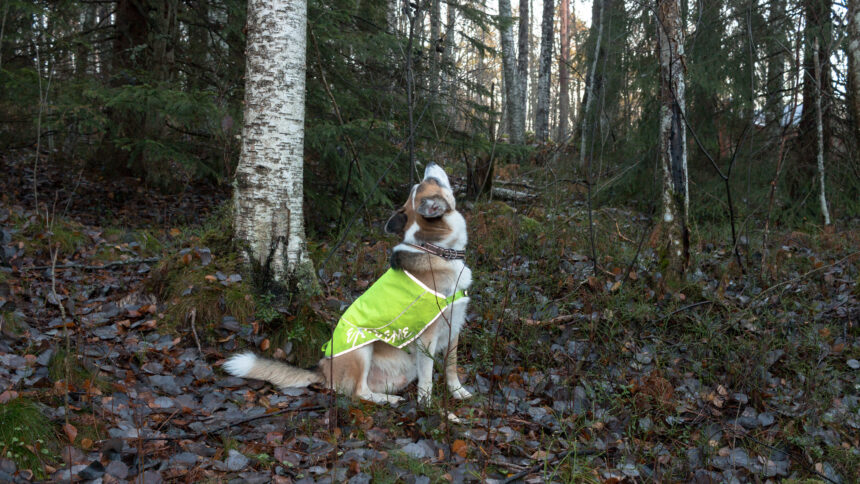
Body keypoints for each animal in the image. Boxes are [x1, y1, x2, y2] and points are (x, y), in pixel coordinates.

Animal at [225, 163, 474, 404]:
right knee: (358, 392)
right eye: (431, 181)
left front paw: (457, 392)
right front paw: (429, 408)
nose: (429, 164)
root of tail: (323, 369)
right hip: (362, 347)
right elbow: (427, 380)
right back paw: (388, 400)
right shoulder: (427, 338)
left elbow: (451, 367)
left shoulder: (453, 329)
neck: (436, 250)